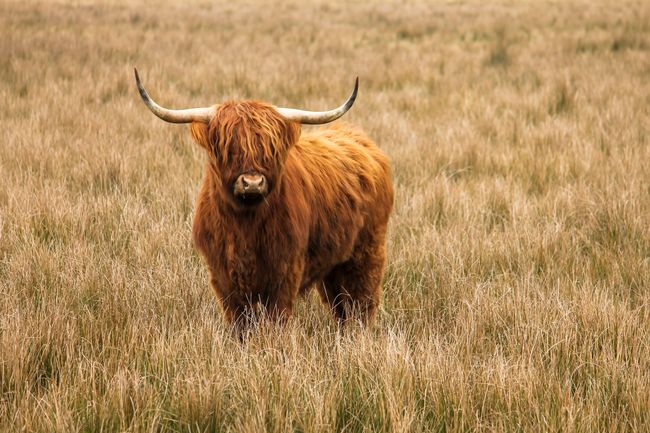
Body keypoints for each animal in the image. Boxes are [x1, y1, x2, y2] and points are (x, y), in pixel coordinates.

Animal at [134, 69, 393, 333]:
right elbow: (240, 321)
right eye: (228, 147)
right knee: (340, 303)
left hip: (367, 250)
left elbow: (276, 318)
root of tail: (359, 139)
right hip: (334, 262)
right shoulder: (223, 276)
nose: (252, 183)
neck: (245, 225)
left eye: (270, 149)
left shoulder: (284, 272)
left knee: (363, 300)